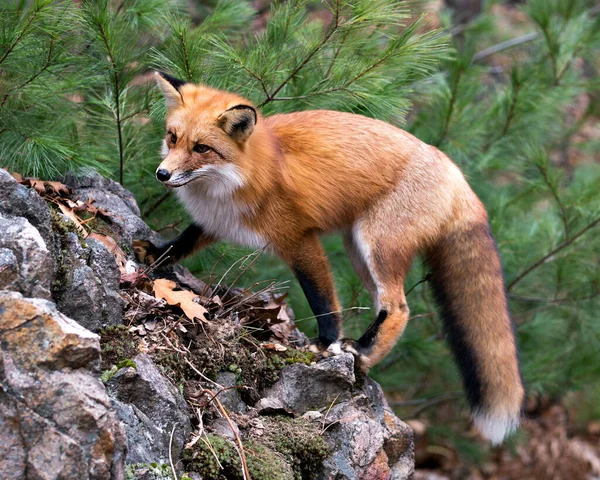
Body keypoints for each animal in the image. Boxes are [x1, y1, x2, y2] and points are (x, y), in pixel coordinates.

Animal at [135, 70, 524, 442]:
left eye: (202, 148)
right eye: (173, 137)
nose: (162, 174)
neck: (244, 173)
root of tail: (455, 170)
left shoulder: (299, 239)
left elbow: (322, 299)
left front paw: (325, 343)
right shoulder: (216, 221)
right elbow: (182, 243)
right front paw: (154, 254)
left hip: (376, 245)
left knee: (399, 307)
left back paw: (360, 351)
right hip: (358, 251)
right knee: (385, 304)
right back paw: (365, 355)